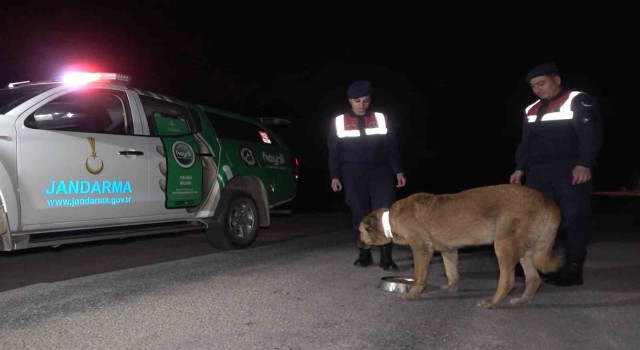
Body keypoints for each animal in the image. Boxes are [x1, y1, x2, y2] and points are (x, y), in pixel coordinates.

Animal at [358, 185, 564, 308]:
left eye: (360, 232)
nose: (358, 244)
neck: (390, 219)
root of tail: (547, 200)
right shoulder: (449, 251)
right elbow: (452, 273)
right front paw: (452, 288)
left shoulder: (421, 249)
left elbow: (419, 277)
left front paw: (411, 295)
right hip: (524, 251)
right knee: (534, 279)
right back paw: (523, 301)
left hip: (504, 246)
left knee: (508, 281)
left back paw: (492, 302)